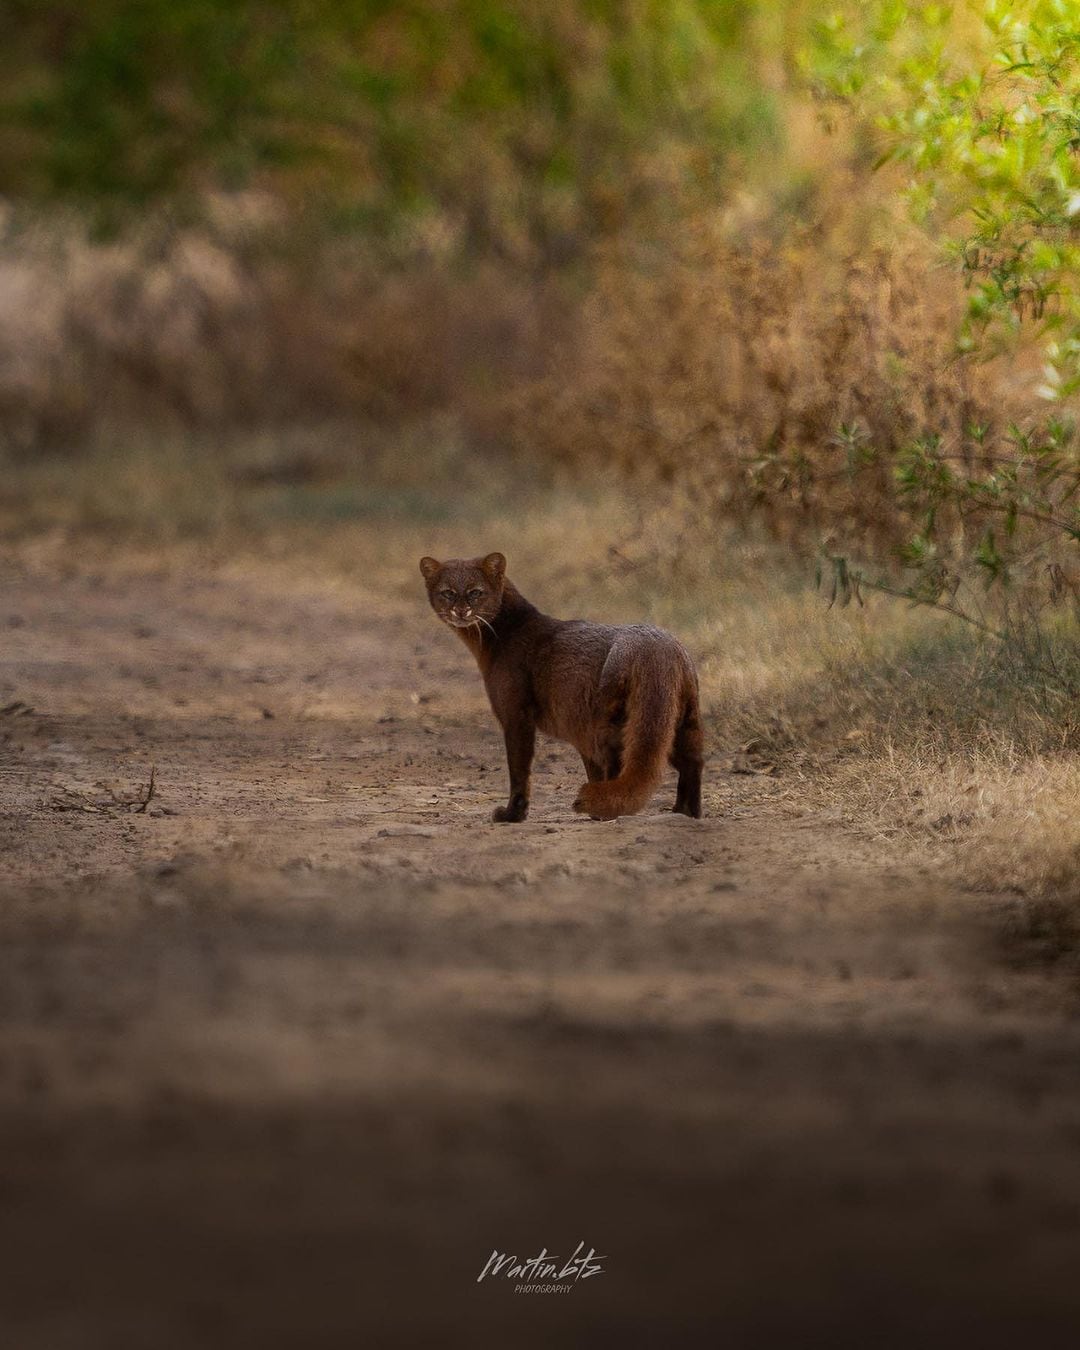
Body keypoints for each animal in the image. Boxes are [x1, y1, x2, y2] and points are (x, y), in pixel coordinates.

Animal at [418, 550, 702, 820]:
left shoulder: (515, 714)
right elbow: (591, 769)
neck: (502, 635)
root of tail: (655, 646)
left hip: (611, 724)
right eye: (447, 592)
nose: (460, 610)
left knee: (622, 765)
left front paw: (511, 815)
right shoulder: (578, 731)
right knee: (693, 762)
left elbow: (519, 769)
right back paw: (685, 812)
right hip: (682, 720)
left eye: (475, 592)